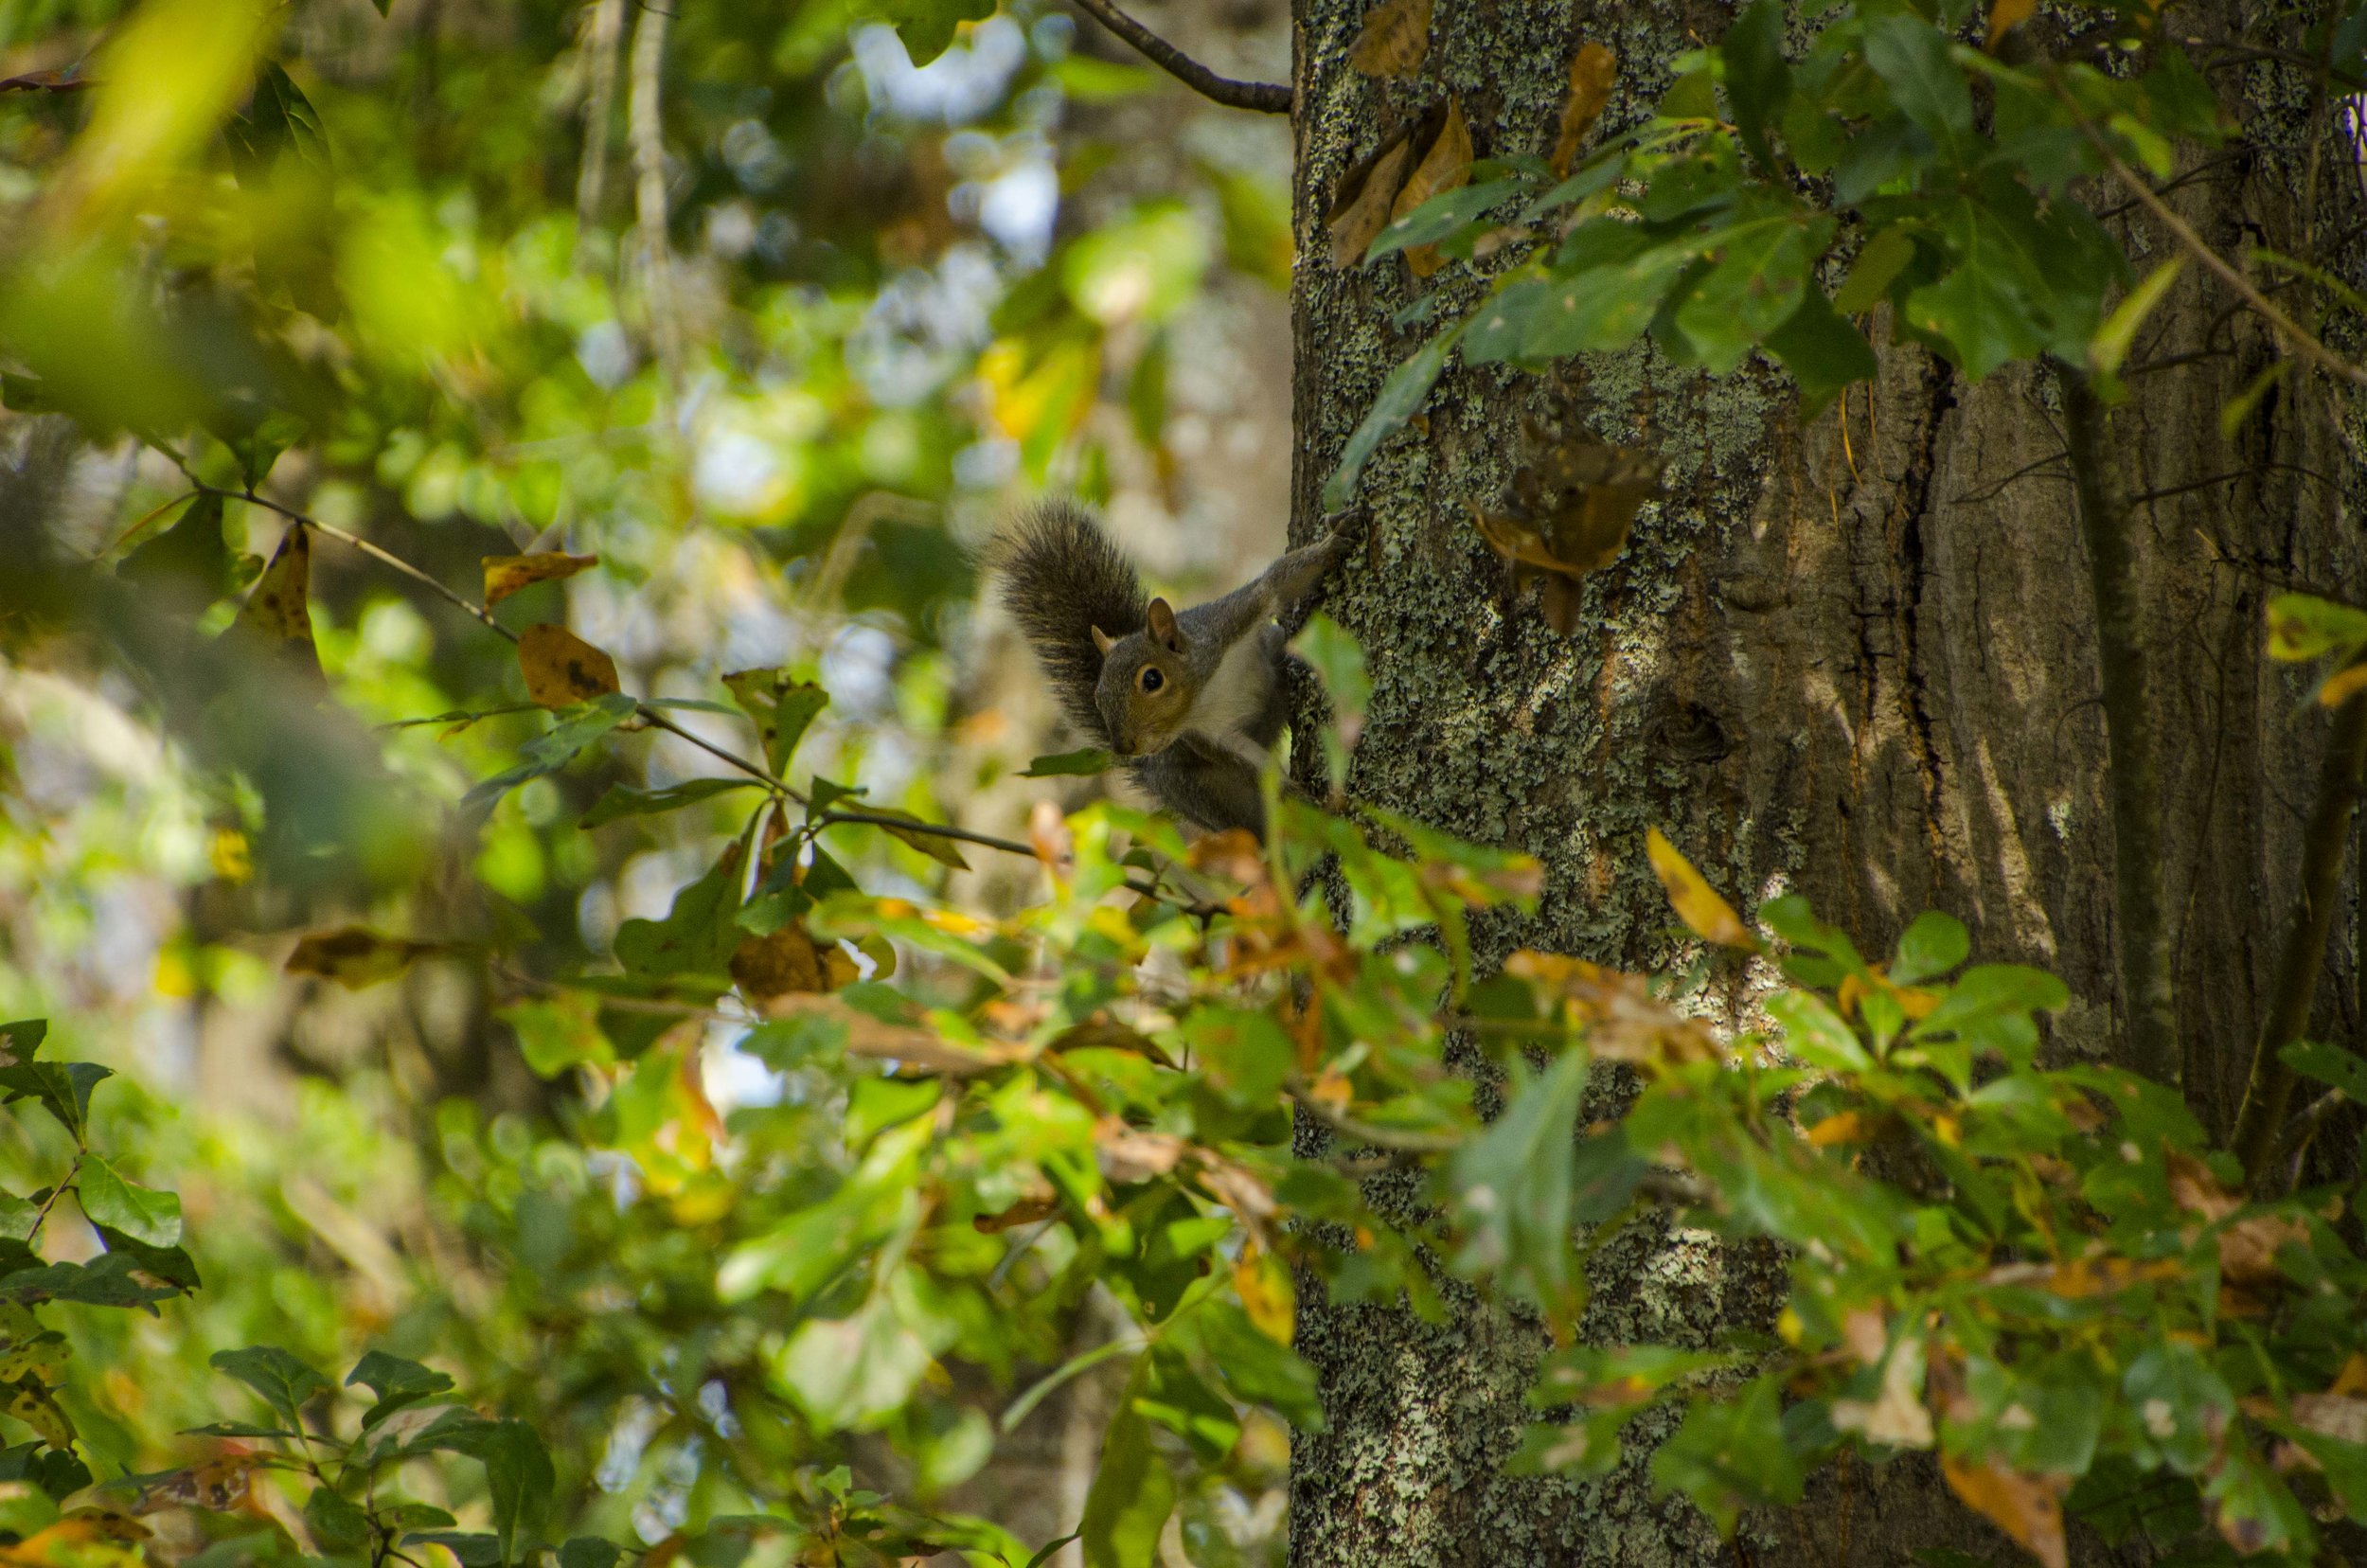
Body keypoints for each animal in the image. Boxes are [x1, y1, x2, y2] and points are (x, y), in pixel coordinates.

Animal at [988, 500, 1351, 838]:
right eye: (1097, 696)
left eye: (1152, 679)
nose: (1124, 746)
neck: (1206, 693)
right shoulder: (1212, 738)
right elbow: (1256, 767)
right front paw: (1304, 801)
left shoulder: (1229, 621)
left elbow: (1276, 583)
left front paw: (1331, 544)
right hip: (1201, 793)